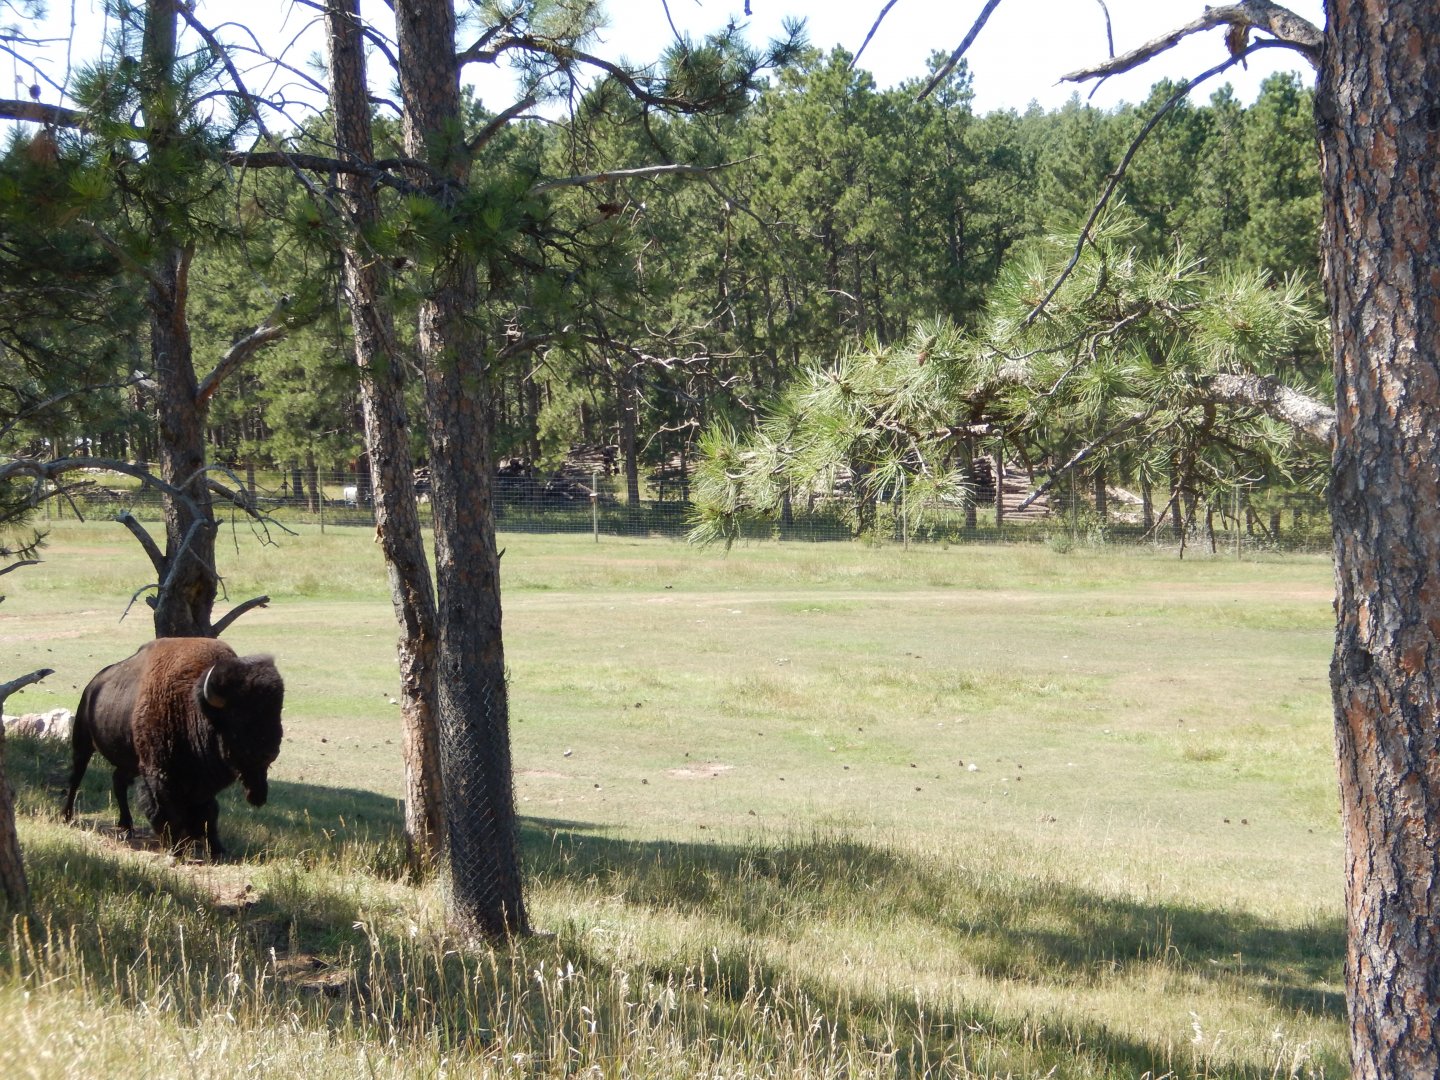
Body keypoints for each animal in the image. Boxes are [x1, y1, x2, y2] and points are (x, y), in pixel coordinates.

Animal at [62, 637, 285, 860]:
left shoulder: (203, 783)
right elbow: (169, 810)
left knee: (118, 781)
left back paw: (127, 827)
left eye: (277, 710)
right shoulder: (160, 774)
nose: (270, 751)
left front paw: (218, 849)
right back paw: (67, 816)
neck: (194, 705)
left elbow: (210, 812)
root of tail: (92, 686)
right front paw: (176, 849)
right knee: (76, 777)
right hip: (83, 744)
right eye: (239, 716)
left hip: (130, 763)